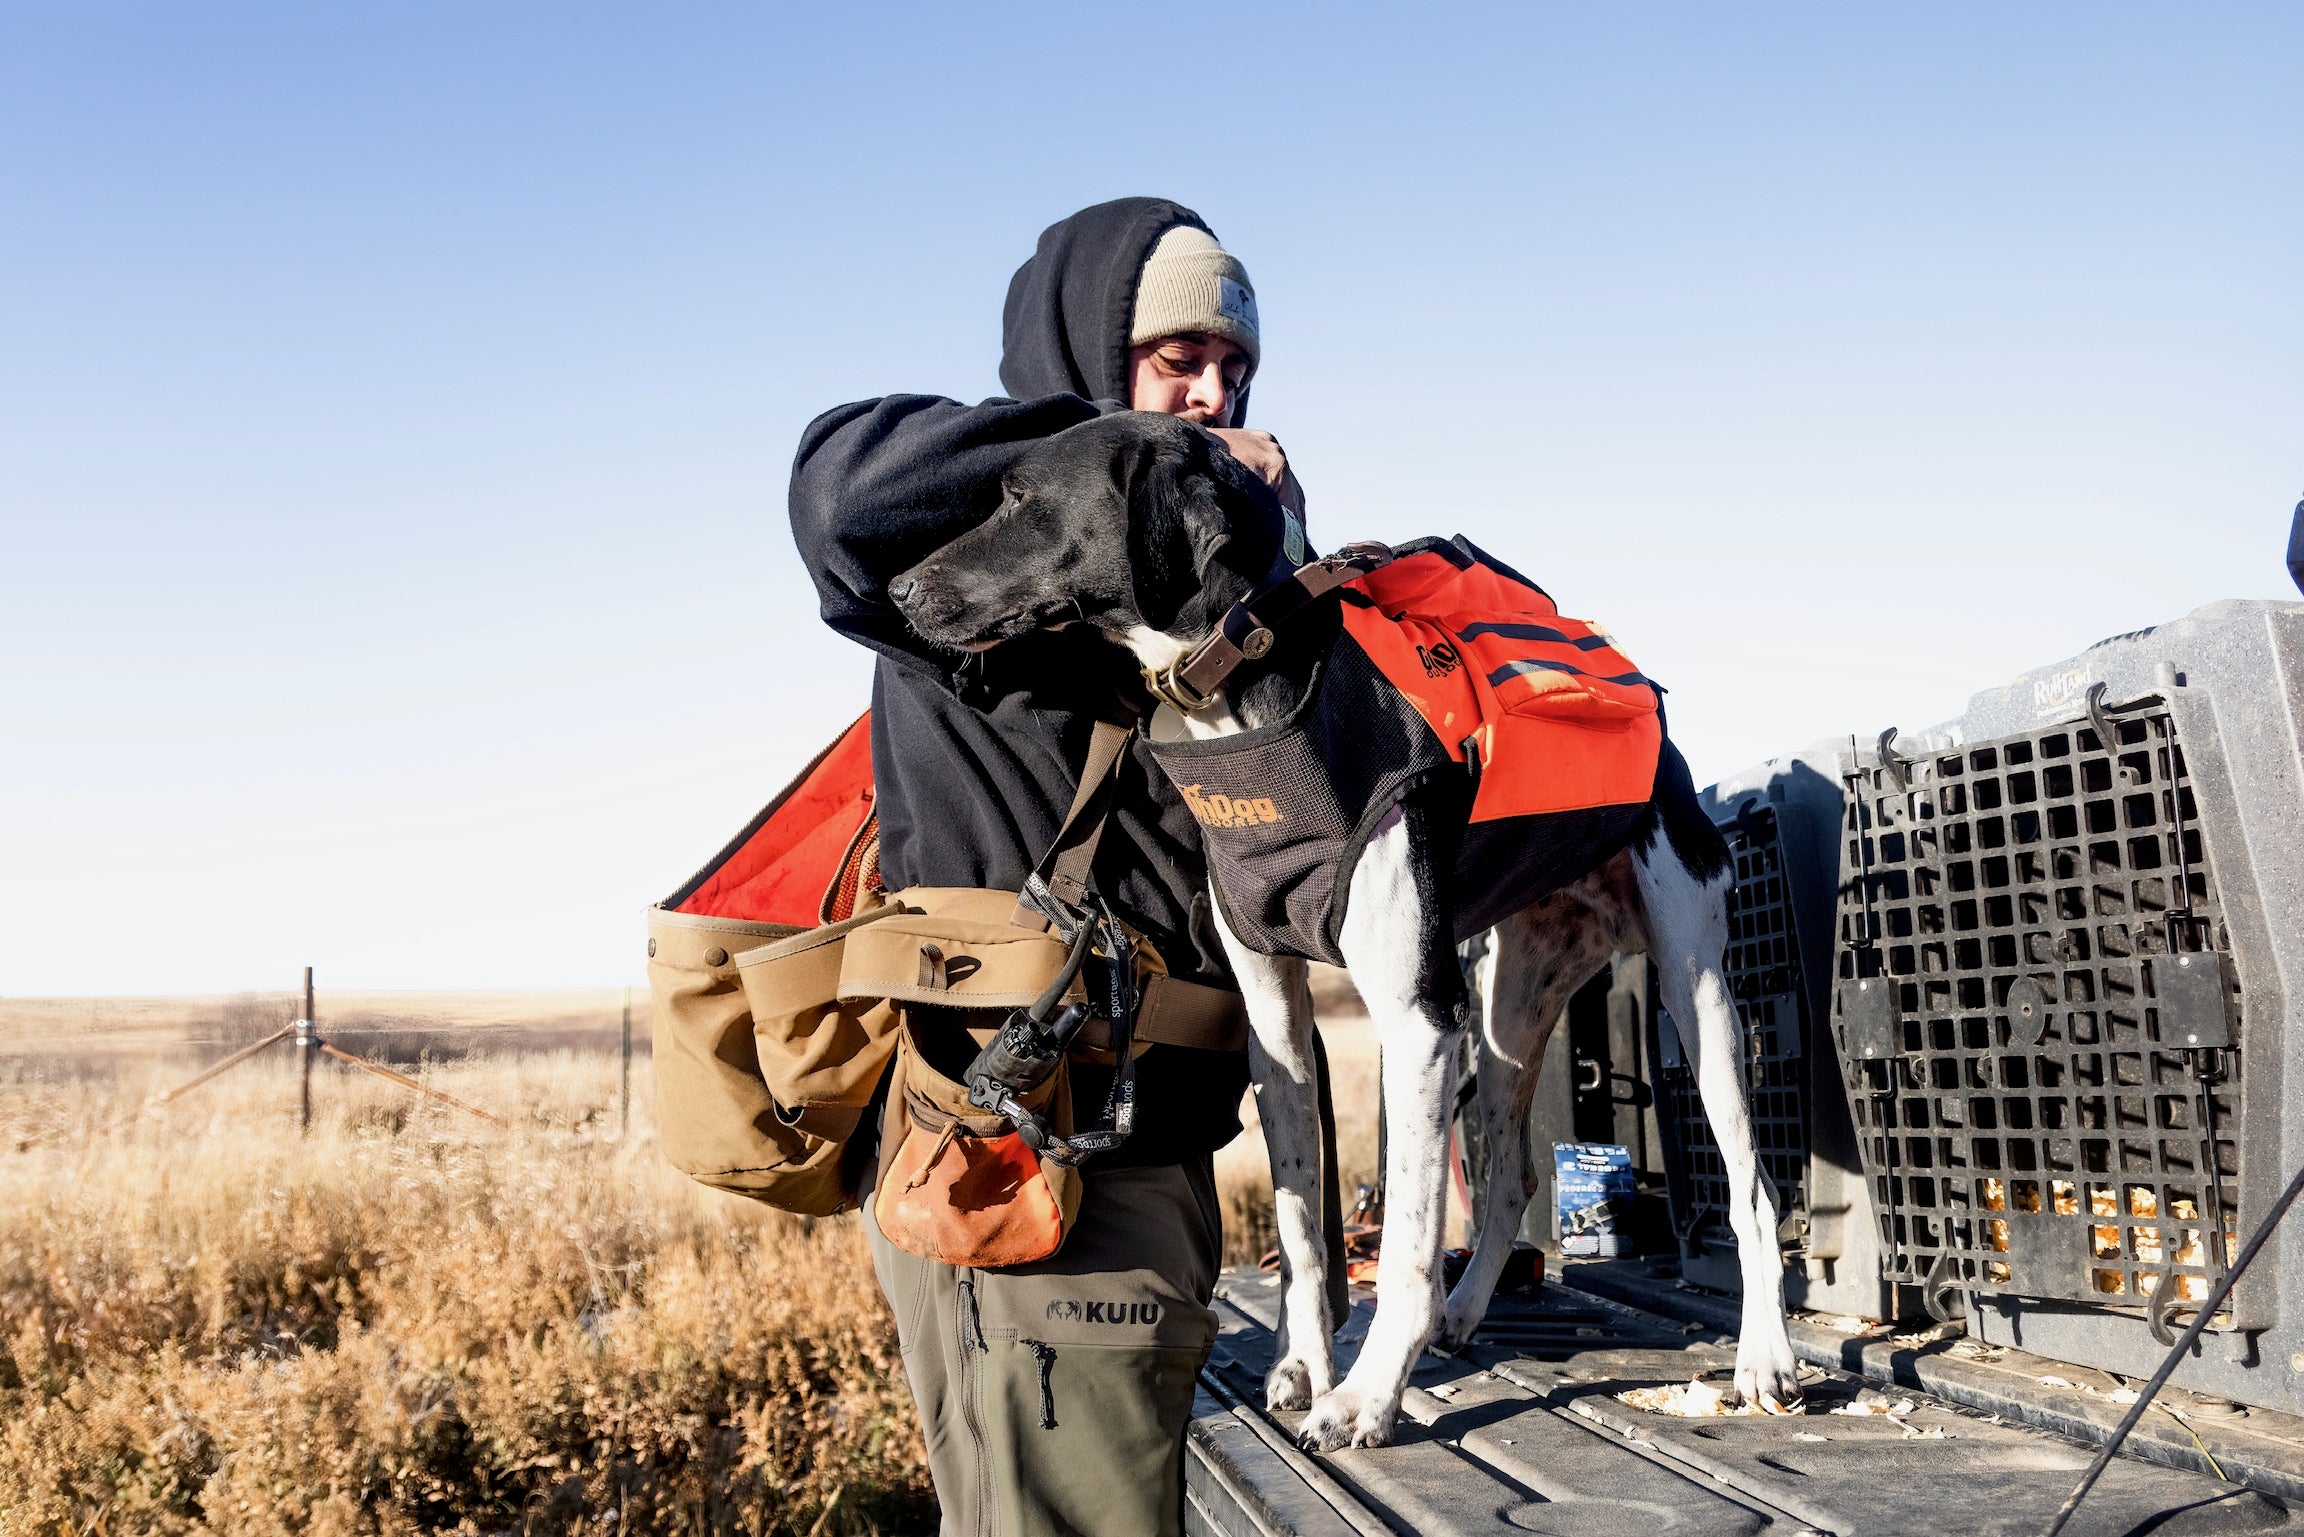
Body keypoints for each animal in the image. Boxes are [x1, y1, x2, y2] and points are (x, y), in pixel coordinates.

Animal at [880, 414, 1797, 1447]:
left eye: (1020, 497)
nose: (897, 591)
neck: (1236, 703)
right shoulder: (1277, 1022)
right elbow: (1301, 1222)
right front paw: (1304, 1363)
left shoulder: (1417, 1019)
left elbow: (1404, 1243)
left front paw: (1365, 1395)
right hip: (1507, 1015)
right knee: (1512, 1175)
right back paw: (1466, 1311)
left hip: (1695, 991)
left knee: (1750, 1180)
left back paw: (1763, 1357)